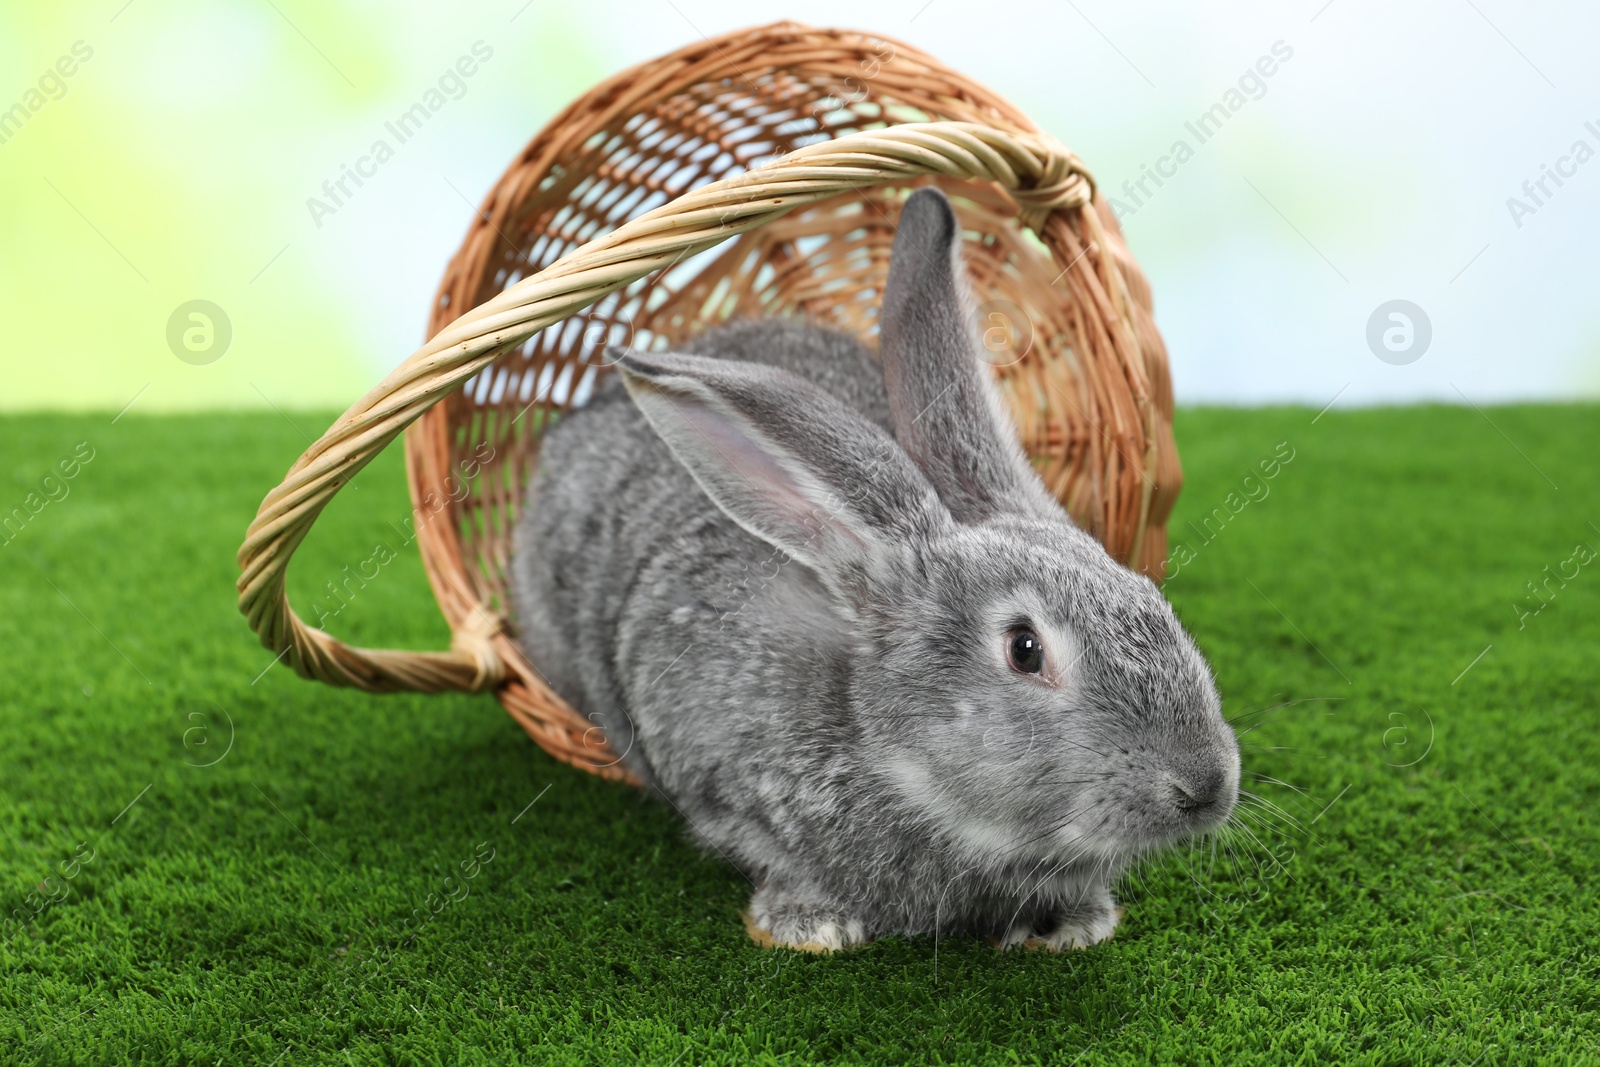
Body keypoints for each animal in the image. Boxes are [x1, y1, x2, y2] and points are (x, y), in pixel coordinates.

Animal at [512, 187, 1235, 953]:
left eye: (1149, 594)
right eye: (1024, 648)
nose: (1204, 788)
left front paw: (1075, 922)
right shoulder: (712, 778)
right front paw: (808, 925)